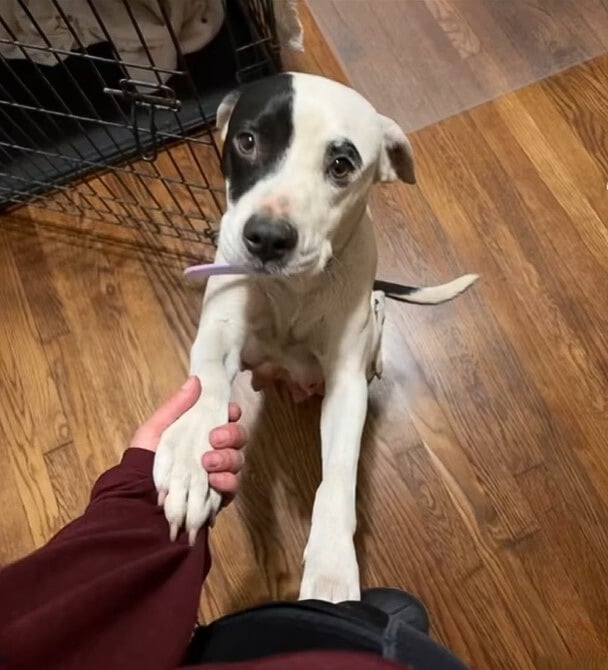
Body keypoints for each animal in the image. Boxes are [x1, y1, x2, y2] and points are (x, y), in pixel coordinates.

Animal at [151, 72, 476, 604]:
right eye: (247, 141)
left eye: (341, 165)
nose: (266, 237)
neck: (293, 291)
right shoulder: (219, 333)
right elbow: (206, 388)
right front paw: (190, 464)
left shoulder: (345, 384)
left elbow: (338, 476)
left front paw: (331, 566)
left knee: (379, 308)